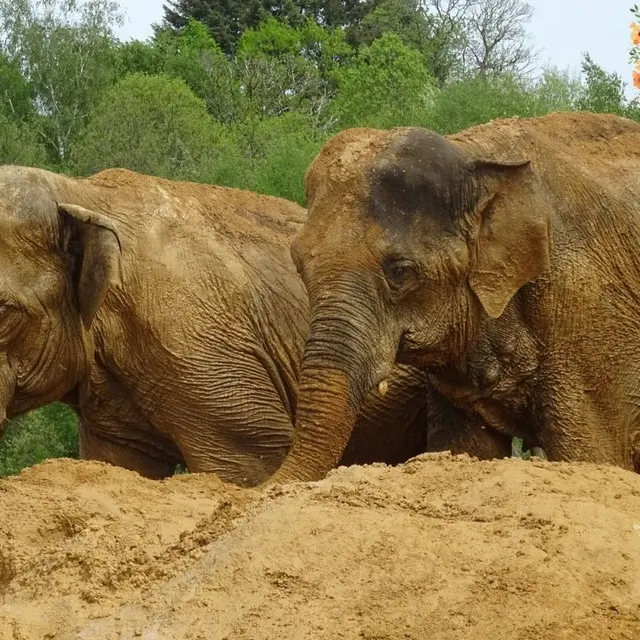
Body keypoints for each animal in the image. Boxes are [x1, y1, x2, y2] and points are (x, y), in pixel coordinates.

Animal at [266, 110, 640, 482]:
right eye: (298, 264)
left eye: (400, 270)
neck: (475, 158)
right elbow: (470, 448)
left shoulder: (589, 312)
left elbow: (594, 452)